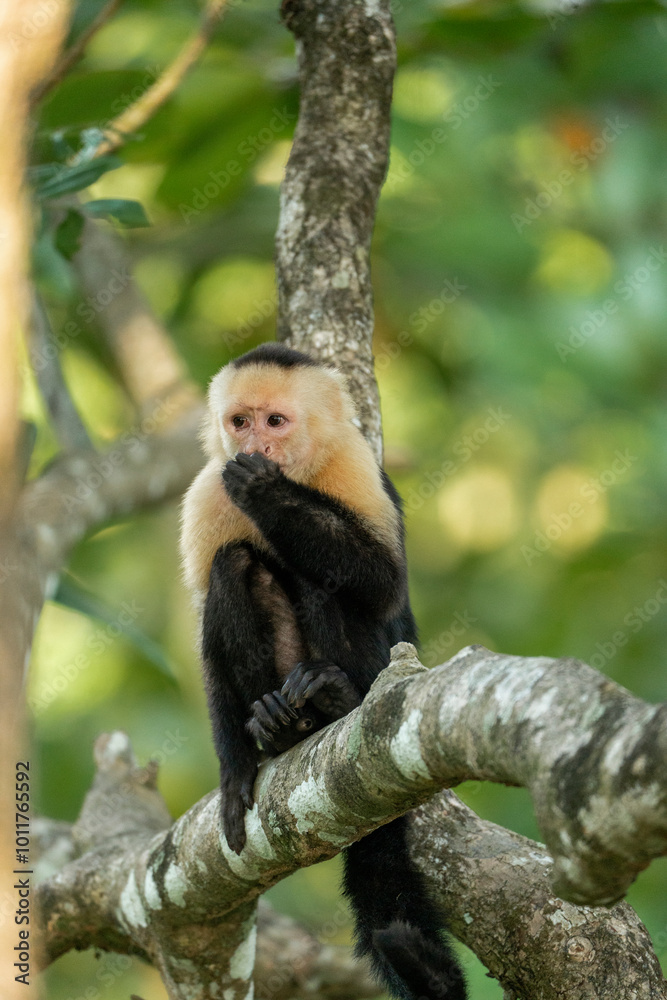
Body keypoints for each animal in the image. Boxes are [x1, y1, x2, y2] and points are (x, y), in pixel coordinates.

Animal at [180, 342, 468, 1000]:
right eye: (240, 422)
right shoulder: (207, 494)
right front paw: (235, 768)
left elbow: (382, 582)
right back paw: (276, 727)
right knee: (236, 565)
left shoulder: (354, 465)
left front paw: (265, 492)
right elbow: (208, 630)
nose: (256, 449)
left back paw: (336, 699)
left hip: (373, 670)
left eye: (275, 422)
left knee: (324, 576)